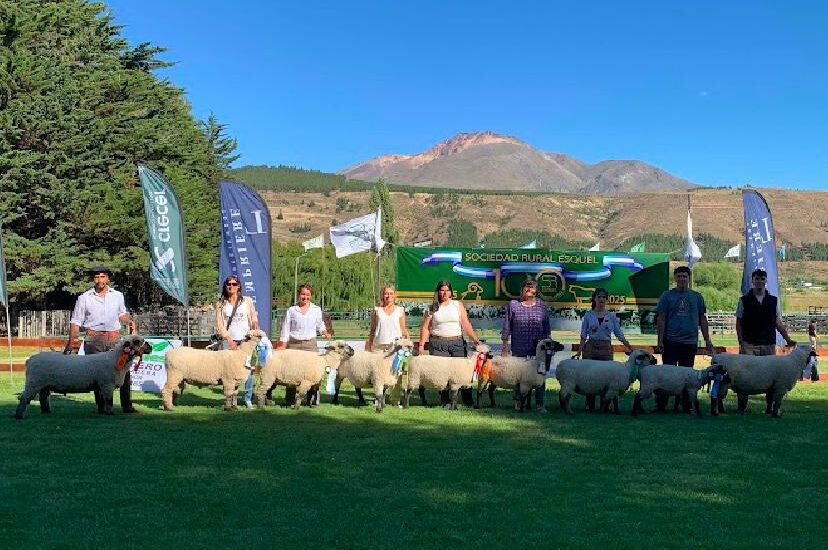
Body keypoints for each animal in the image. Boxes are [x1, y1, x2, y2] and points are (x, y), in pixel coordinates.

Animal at [12, 334, 152, 420]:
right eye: (137, 342)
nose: (150, 347)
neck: (115, 359)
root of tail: (30, 360)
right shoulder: (106, 385)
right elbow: (109, 400)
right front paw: (110, 413)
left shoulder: (102, 386)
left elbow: (103, 400)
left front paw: (104, 412)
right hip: (33, 382)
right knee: (24, 398)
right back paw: (19, 415)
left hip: (43, 385)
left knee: (43, 398)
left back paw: (46, 411)